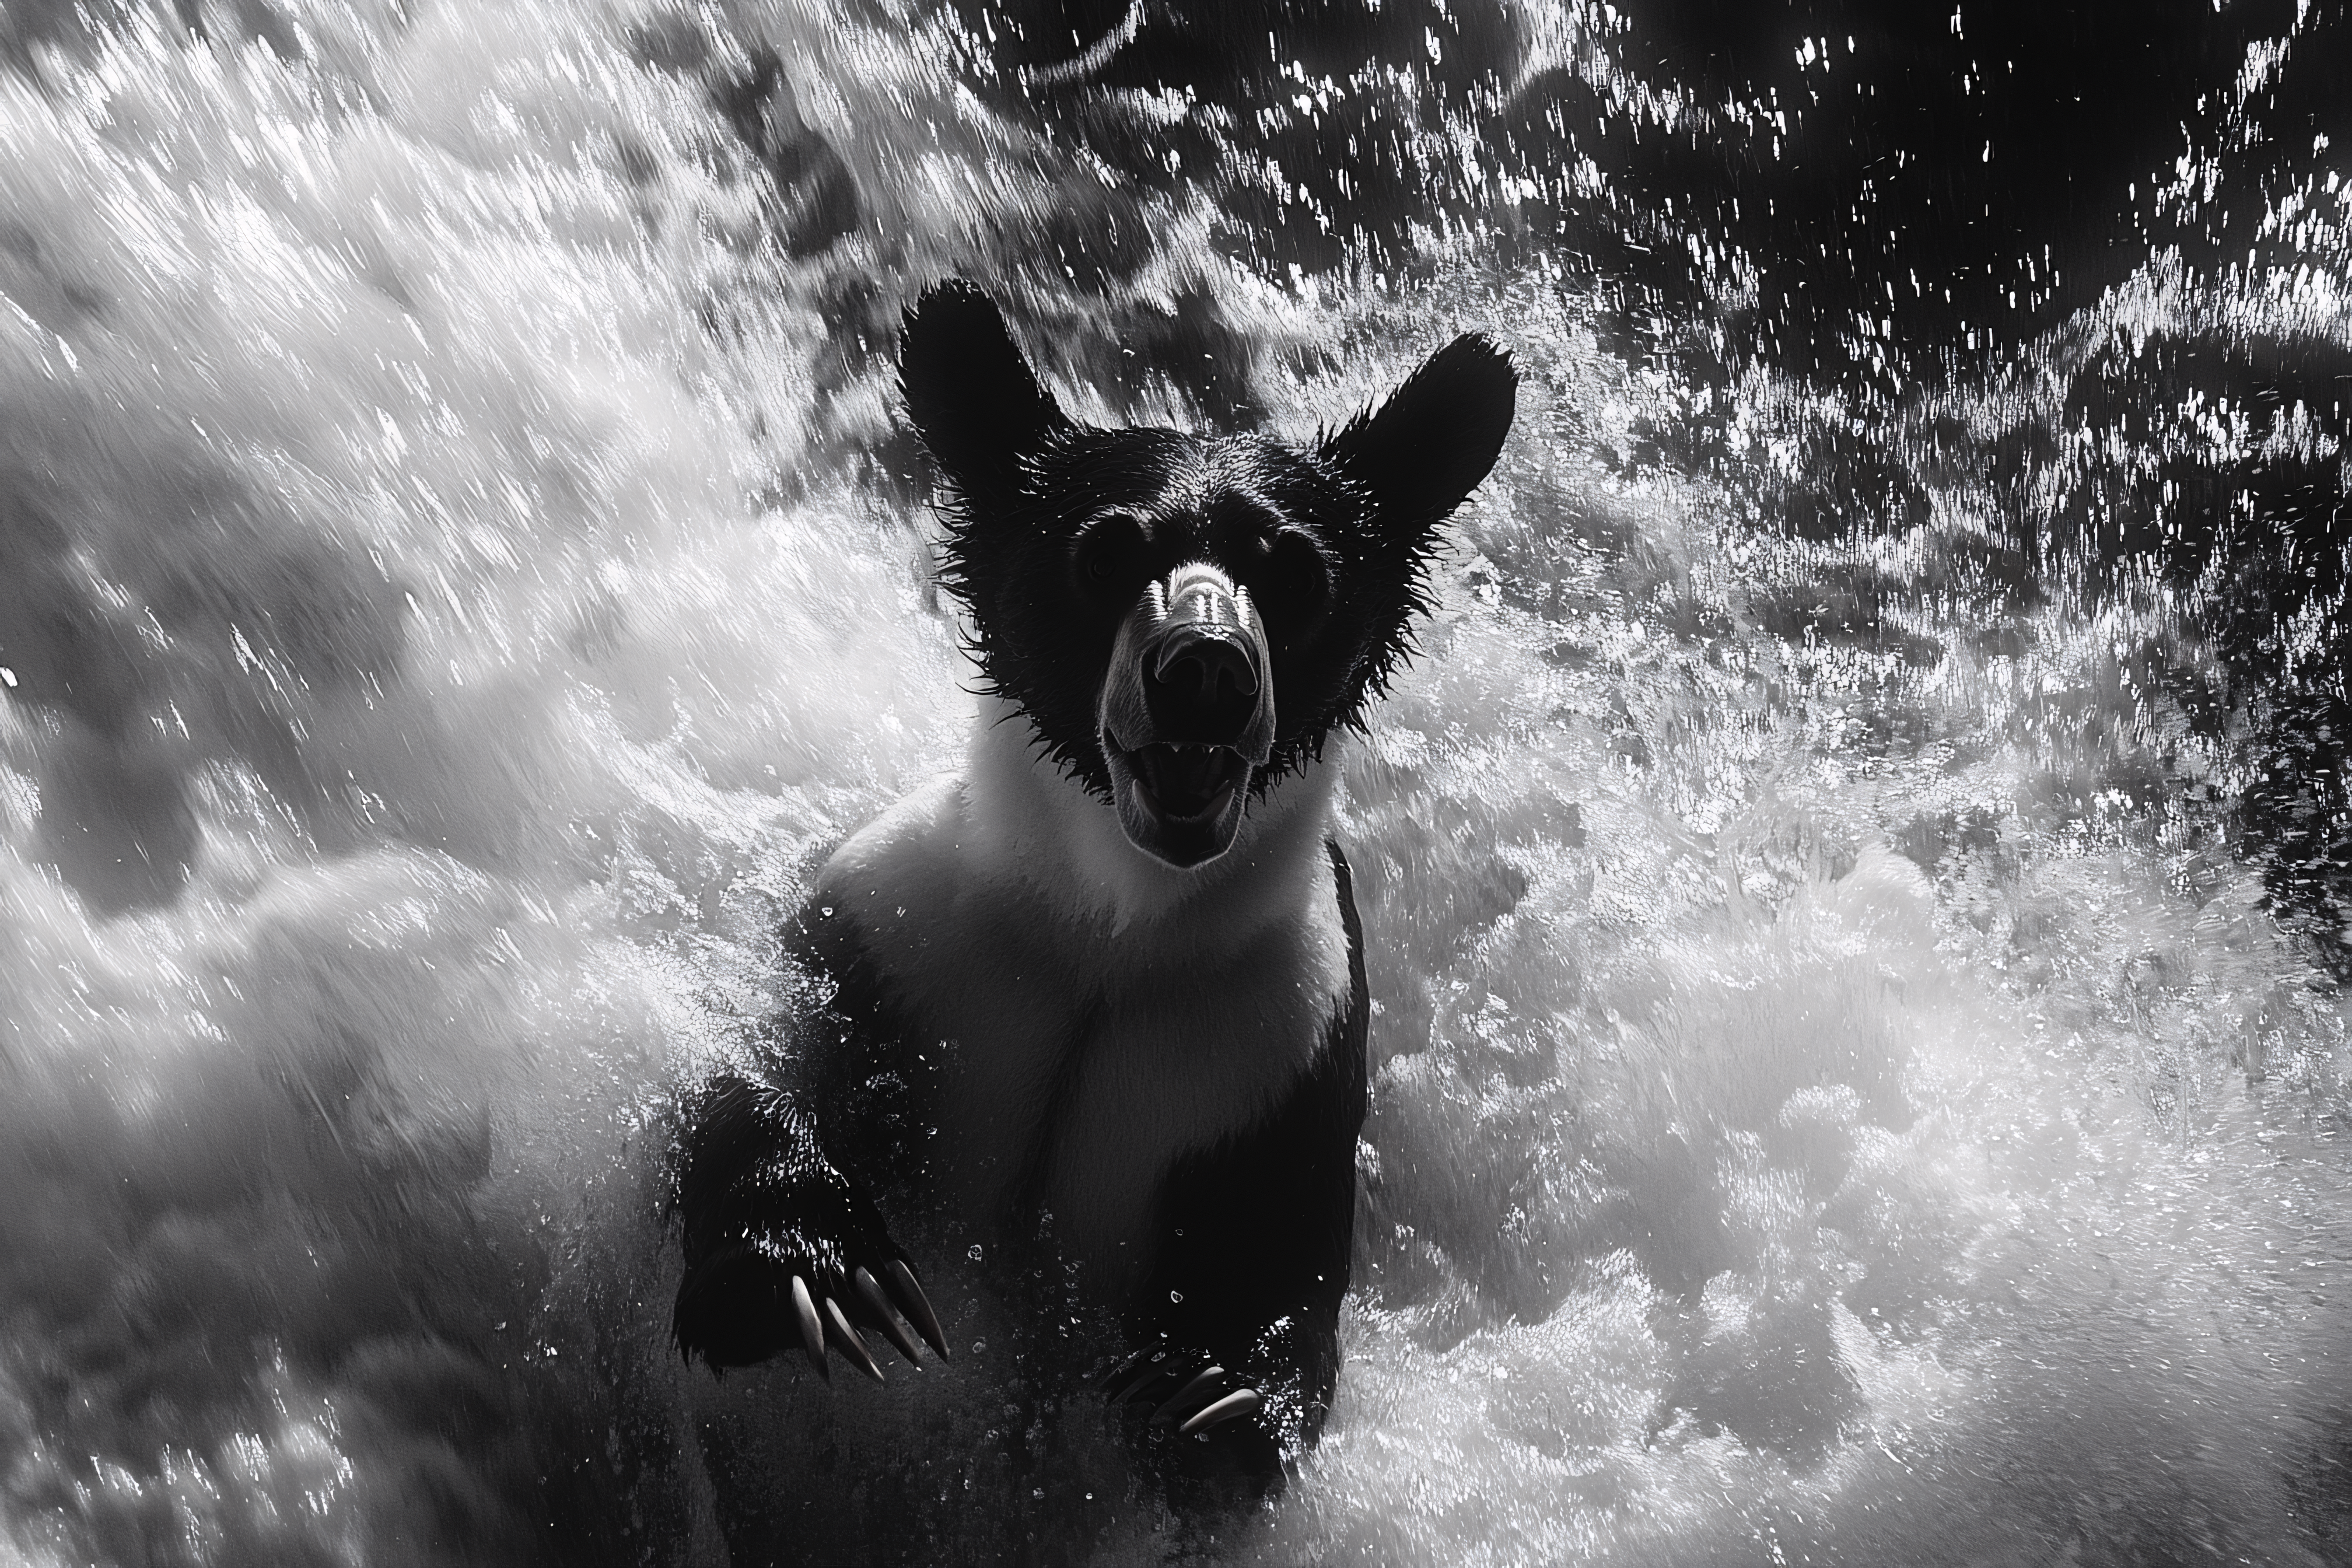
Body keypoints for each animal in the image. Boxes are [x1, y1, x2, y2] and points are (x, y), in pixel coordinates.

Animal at [670, 281, 1517, 1497]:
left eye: (1294, 567)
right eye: (1106, 550)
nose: (1203, 671)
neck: (1112, 922)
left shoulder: (1269, 1042)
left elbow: (1285, 1253)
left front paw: (1208, 1392)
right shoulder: (902, 930)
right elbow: (751, 1037)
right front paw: (817, 1275)